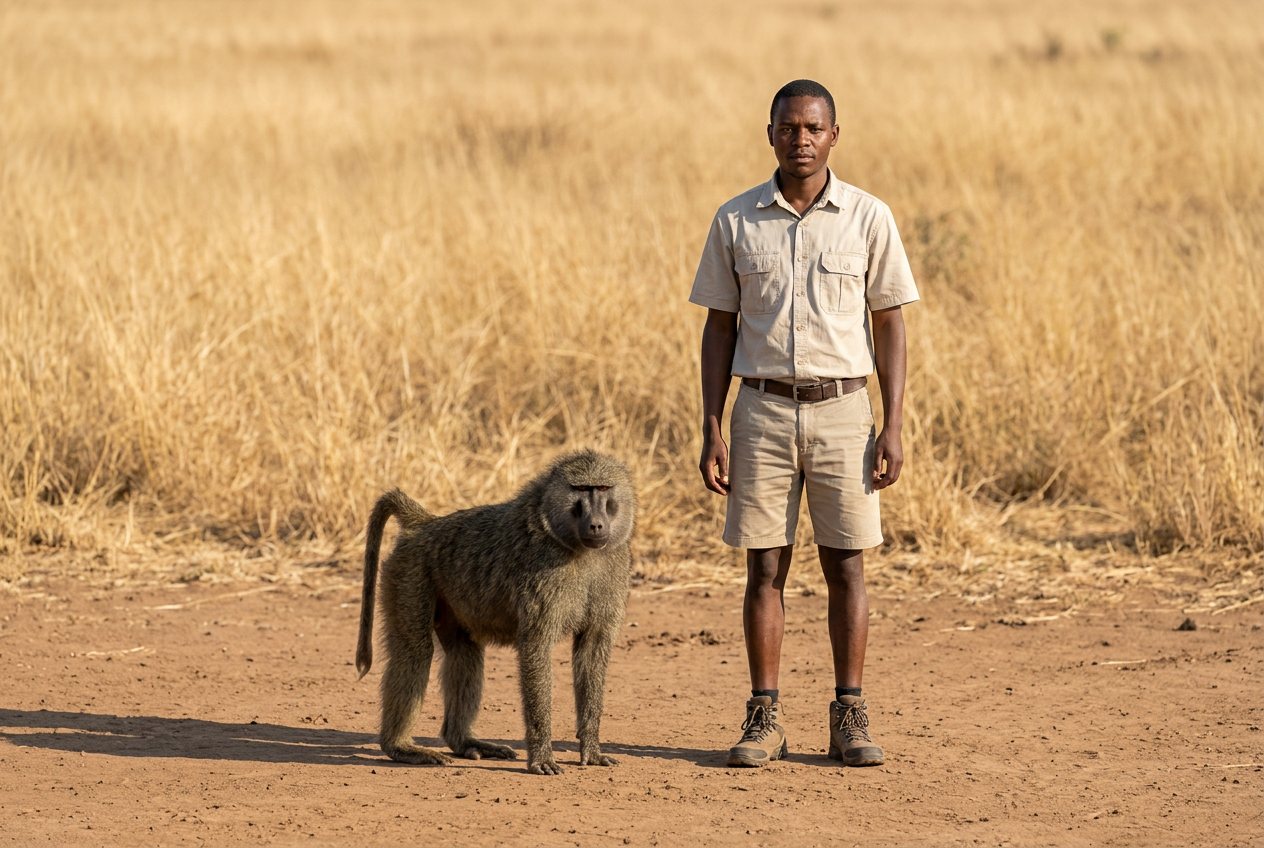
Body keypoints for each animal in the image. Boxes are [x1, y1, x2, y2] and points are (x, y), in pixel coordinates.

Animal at [355, 449, 635, 775]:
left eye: (603, 488)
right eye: (581, 490)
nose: (596, 525)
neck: (574, 546)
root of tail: (426, 524)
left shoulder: (612, 571)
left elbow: (591, 652)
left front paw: (591, 750)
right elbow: (536, 649)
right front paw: (541, 757)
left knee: (465, 653)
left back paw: (464, 742)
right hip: (409, 573)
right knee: (415, 651)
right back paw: (402, 748)